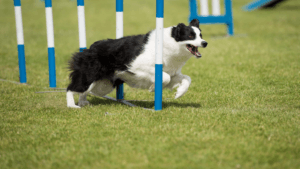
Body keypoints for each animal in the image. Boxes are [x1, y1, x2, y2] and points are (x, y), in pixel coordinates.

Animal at [66, 18, 206, 108]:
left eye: (201, 35)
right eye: (190, 36)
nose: (205, 43)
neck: (170, 44)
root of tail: (89, 48)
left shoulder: (173, 72)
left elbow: (187, 79)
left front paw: (179, 93)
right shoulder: (138, 65)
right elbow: (164, 77)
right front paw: (153, 87)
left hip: (103, 86)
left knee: (86, 91)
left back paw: (83, 102)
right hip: (89, 75)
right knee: (71, 88)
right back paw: (72, 105)